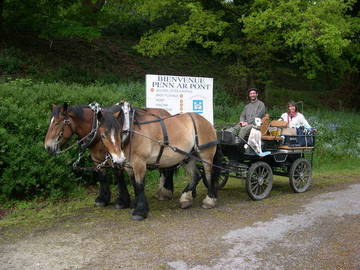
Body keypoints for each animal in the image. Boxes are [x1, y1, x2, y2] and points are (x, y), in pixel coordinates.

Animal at [43, 102, 176, 208]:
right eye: (50, 122)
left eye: (58, 123)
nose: (47, 147)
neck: (96, 130)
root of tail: (167, 113)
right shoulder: (97, 159)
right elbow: (102, 176)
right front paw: (103, 199)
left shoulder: (115, 157)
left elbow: (118, 176)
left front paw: (123, 201)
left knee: (168, 168)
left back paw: (165, 193)